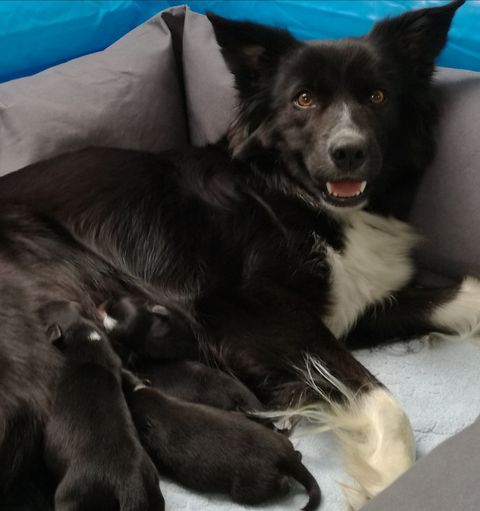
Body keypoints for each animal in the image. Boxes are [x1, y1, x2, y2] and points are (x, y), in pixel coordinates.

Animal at [123, 373, 320, 510]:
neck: (159, 408)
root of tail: (283, 454)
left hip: (248, 486)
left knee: (281, 485)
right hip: (283, 444)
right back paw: (297, 454)